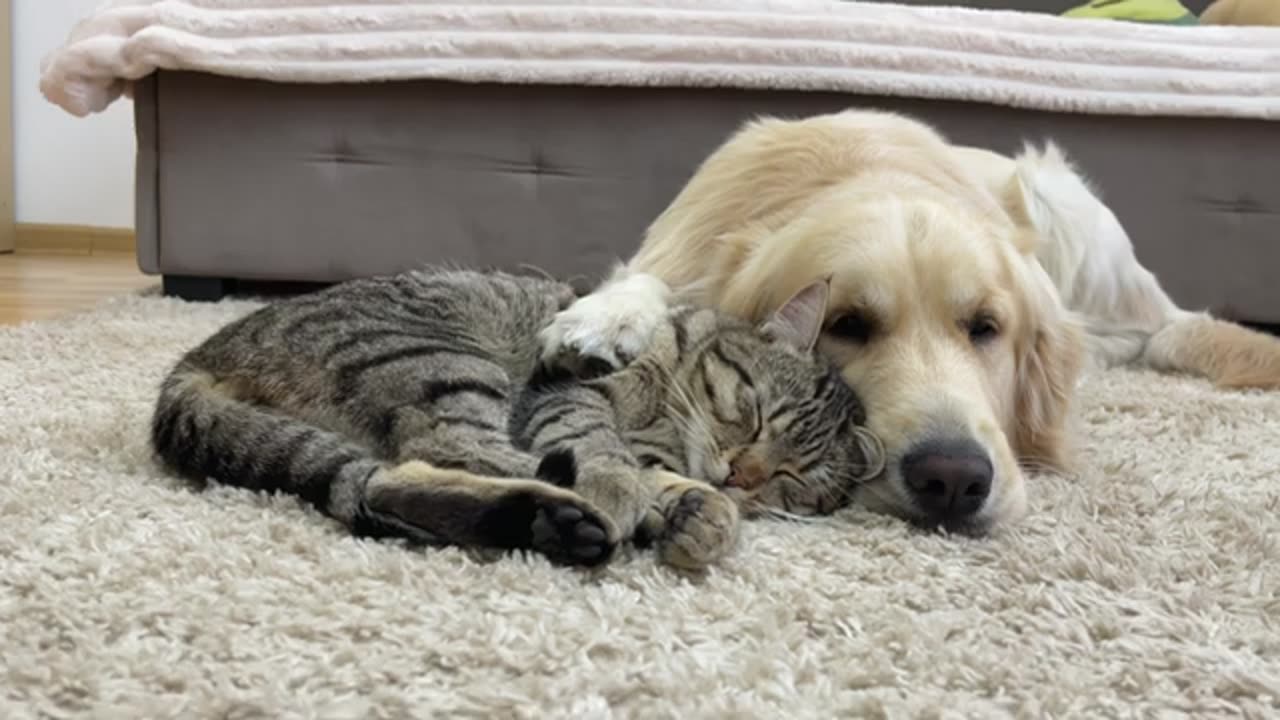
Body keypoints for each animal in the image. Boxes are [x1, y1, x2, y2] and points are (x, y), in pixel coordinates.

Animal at [149, 267, 880, 566]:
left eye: (793, 478)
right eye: (756, 414)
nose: (743, 475)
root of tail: (199, 355)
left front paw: (703, 515)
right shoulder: (564, 392)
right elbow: (602, 444)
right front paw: (653, 493)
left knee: (382, 482)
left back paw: (546, 519)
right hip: (444, 360)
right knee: (445, 451)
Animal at [537, 106, 1280, 532]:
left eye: (985, 327)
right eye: (847, 323)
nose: (953, 480)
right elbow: (650, 280)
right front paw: (609, 320)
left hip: (1061, 199)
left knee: (1154, 330)